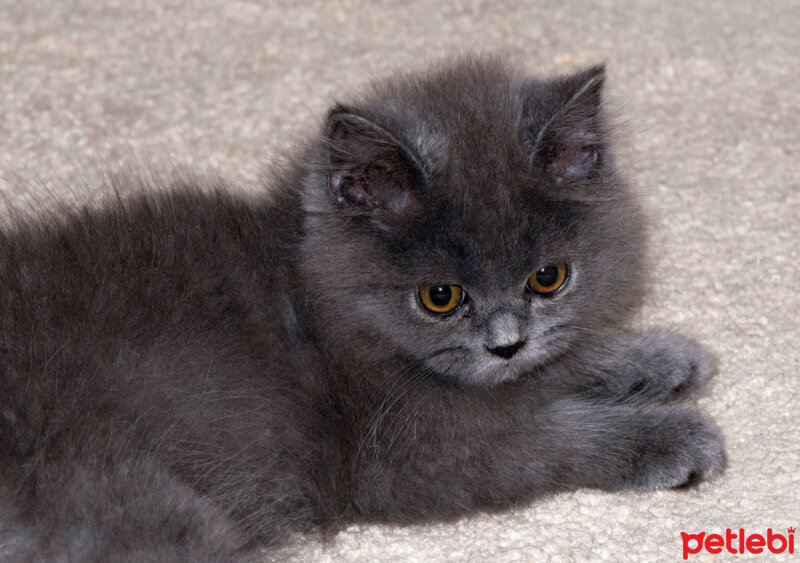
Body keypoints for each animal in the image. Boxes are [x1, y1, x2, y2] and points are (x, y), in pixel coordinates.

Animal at [0, 56, 724, 560]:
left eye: (548, 277)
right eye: (440, 297)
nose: (505, 342)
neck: (315, 308)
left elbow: (556, 365)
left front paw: (659, 356)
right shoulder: (410, 455)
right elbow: (556, 438)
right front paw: (674, 435)